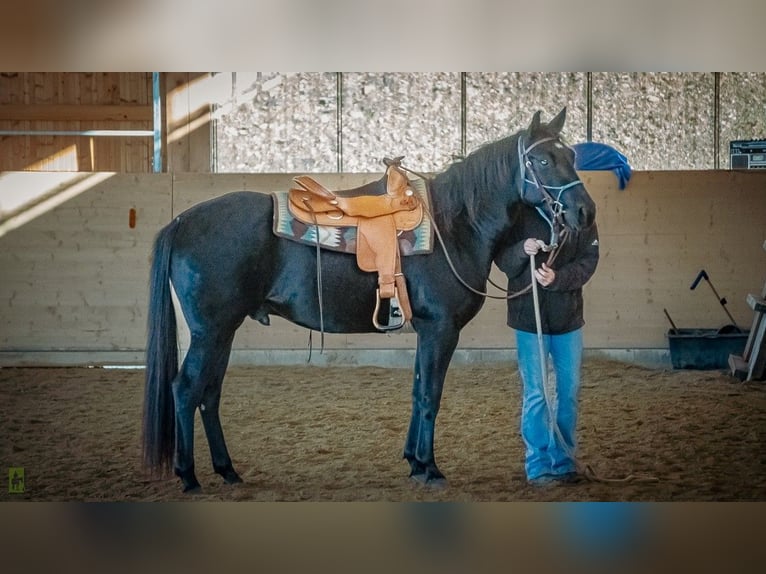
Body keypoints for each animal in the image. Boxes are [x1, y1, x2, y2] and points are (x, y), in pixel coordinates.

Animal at [146, 109, 600, 496]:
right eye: (542, 160)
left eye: (571, 155)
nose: (585, 211)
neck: (454, 225)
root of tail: (181, 221)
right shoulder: (441, 329)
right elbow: (429, 395)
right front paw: (430, 469)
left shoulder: (427, 330)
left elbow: (417, 390)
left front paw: (414, 463)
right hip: (211, 332)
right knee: (185, 389)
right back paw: (189, 476)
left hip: (222, 332)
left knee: (209, 394)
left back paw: (227, 471)